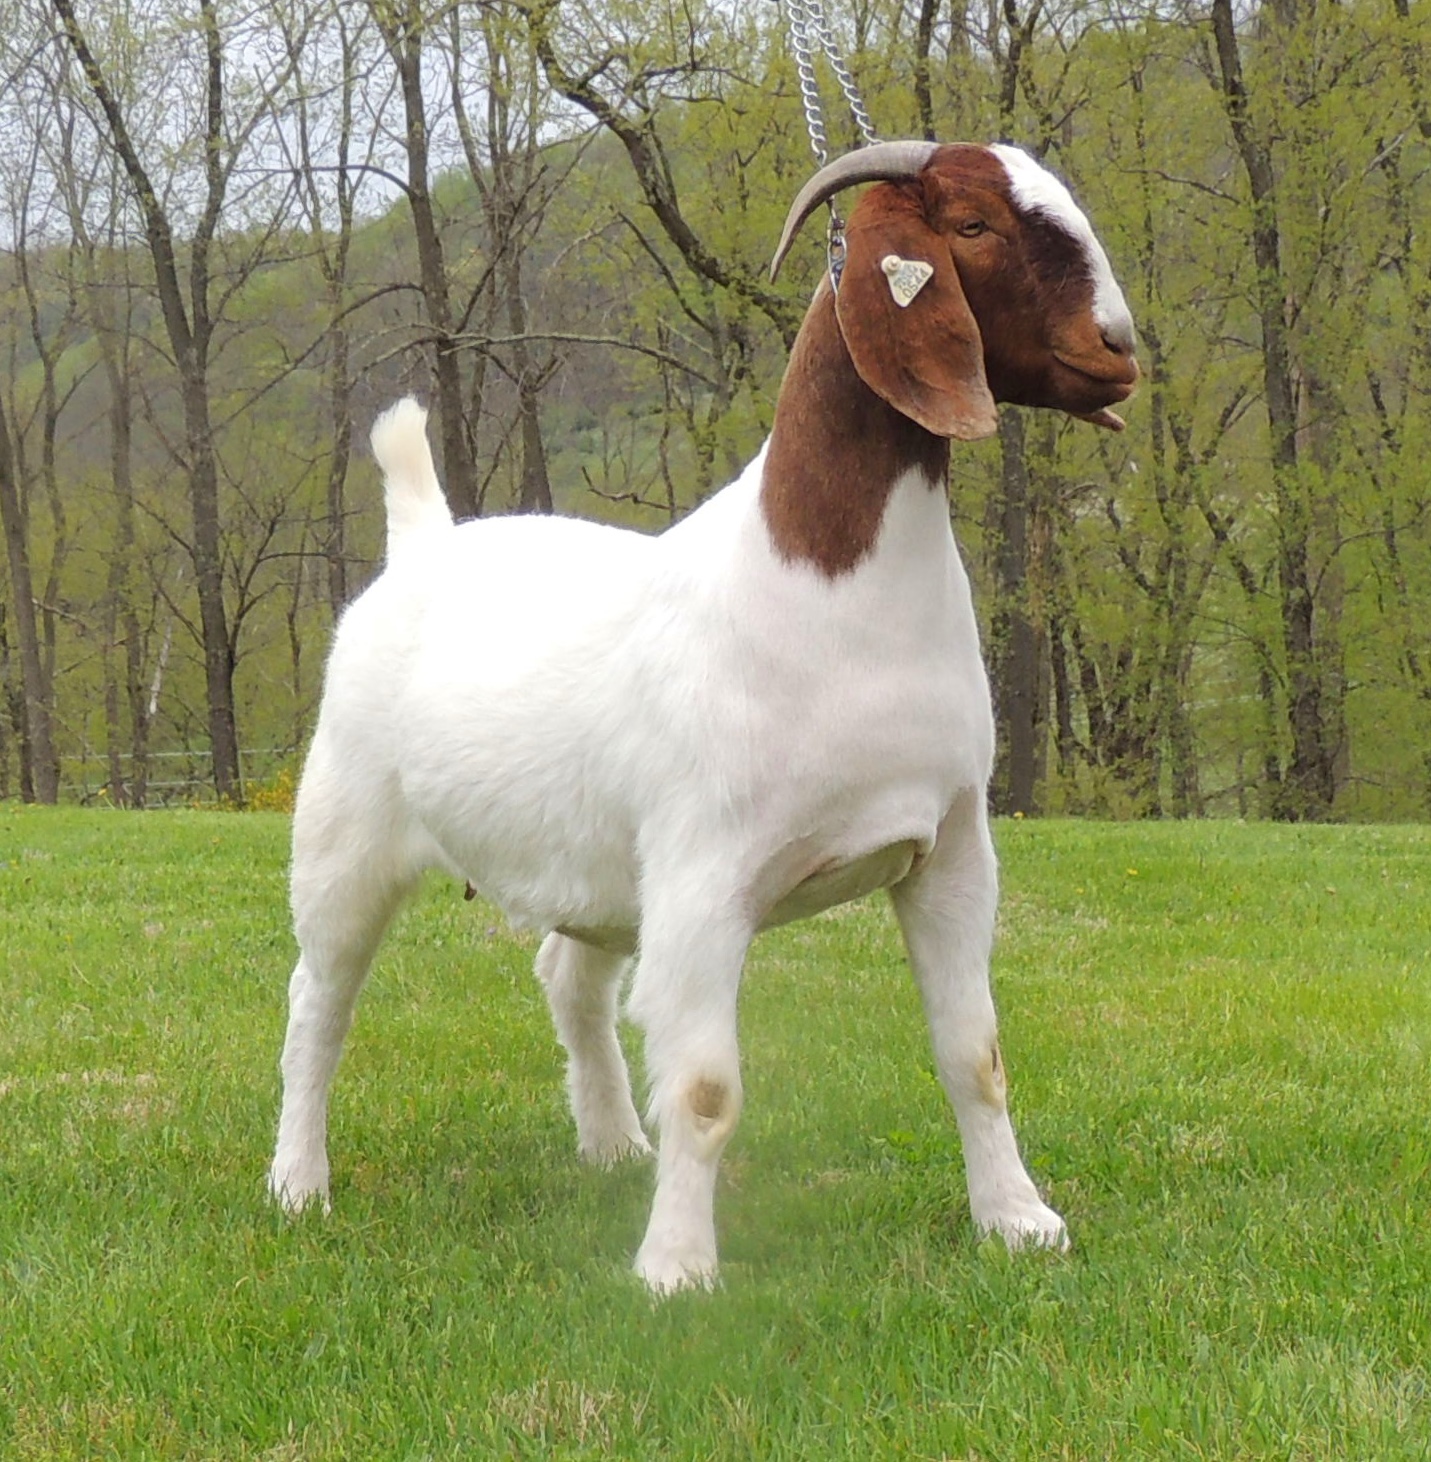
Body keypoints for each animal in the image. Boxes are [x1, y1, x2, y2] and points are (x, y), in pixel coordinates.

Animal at [269, 141, 1139, 1292]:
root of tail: (425, 540)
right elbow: (706, 1088)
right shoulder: (703, 874)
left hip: (598, 863)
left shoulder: (949, 846)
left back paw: (610, 1144)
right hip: (348, 833)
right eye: (972, 226)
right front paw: (676, 1268)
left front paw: (1018, 1220)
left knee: (568, 977)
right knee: (318, 1001)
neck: (827, 588)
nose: (1119, 349)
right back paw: (298, 1183)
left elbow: (975, 1056)